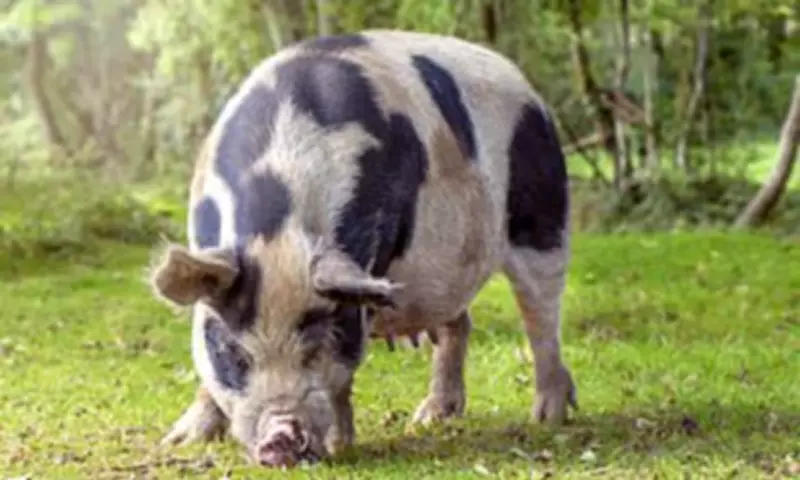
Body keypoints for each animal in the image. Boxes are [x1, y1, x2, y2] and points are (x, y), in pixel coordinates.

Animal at [149, 29, 576, 468]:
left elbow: (346, 367)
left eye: (317, 346)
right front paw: (180, 441)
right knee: (458, 323)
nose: (280, 438)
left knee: (542, 316)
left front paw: (339, 445)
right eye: (235, 354)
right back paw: (430, 418)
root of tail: (527, 87)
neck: (279, 234)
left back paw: (548, 417)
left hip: (543, 218)